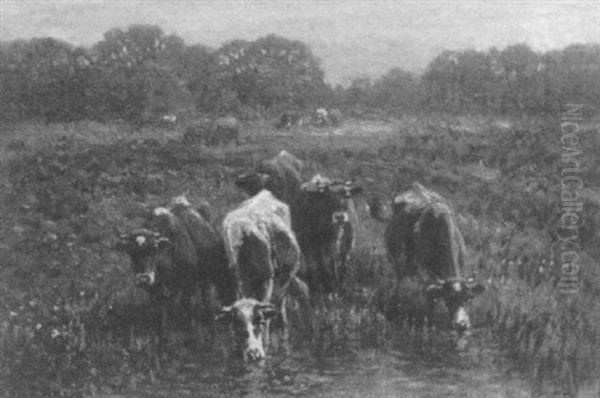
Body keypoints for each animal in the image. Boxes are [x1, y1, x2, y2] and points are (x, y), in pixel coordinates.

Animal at [217, 190, 310, 360]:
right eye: (237, 323)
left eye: (258, 321)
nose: (253, 354)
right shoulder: (239, 281)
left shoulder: (268, 285)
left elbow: (268, 326)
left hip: (283, 279)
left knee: (286, 305)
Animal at [368, 183, 486, 330]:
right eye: (448, 298)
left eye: (469, 297)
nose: (461, 324)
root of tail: (415, 186)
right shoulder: (426, 271)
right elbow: (430, 298)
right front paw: (429, 322)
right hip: (399, 255)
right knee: (400, 275)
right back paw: (395, 300)